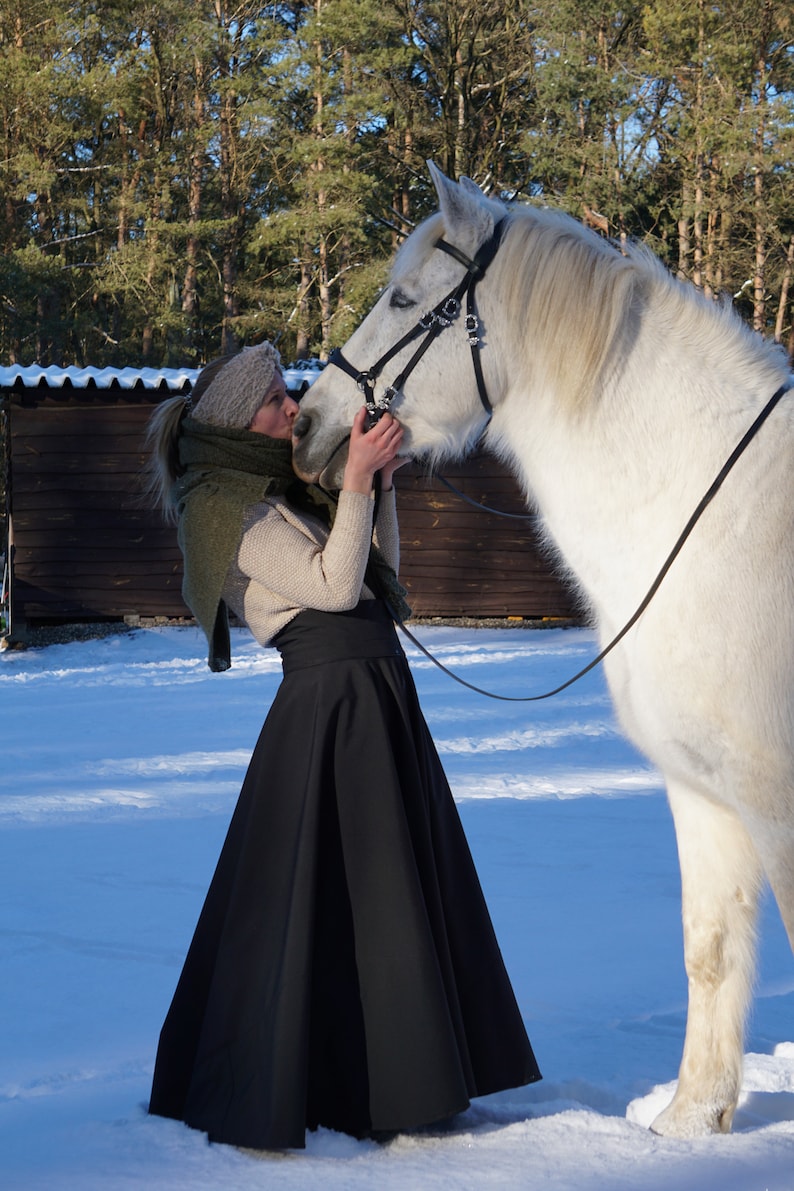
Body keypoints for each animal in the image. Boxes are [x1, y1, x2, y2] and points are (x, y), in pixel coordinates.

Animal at [291, 163, 794, 1139]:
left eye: (403, 296)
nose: (309, 425)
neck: (724, 514)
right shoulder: (705, 786)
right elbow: (710, 945)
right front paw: (690, 1118)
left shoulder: (776, 799)